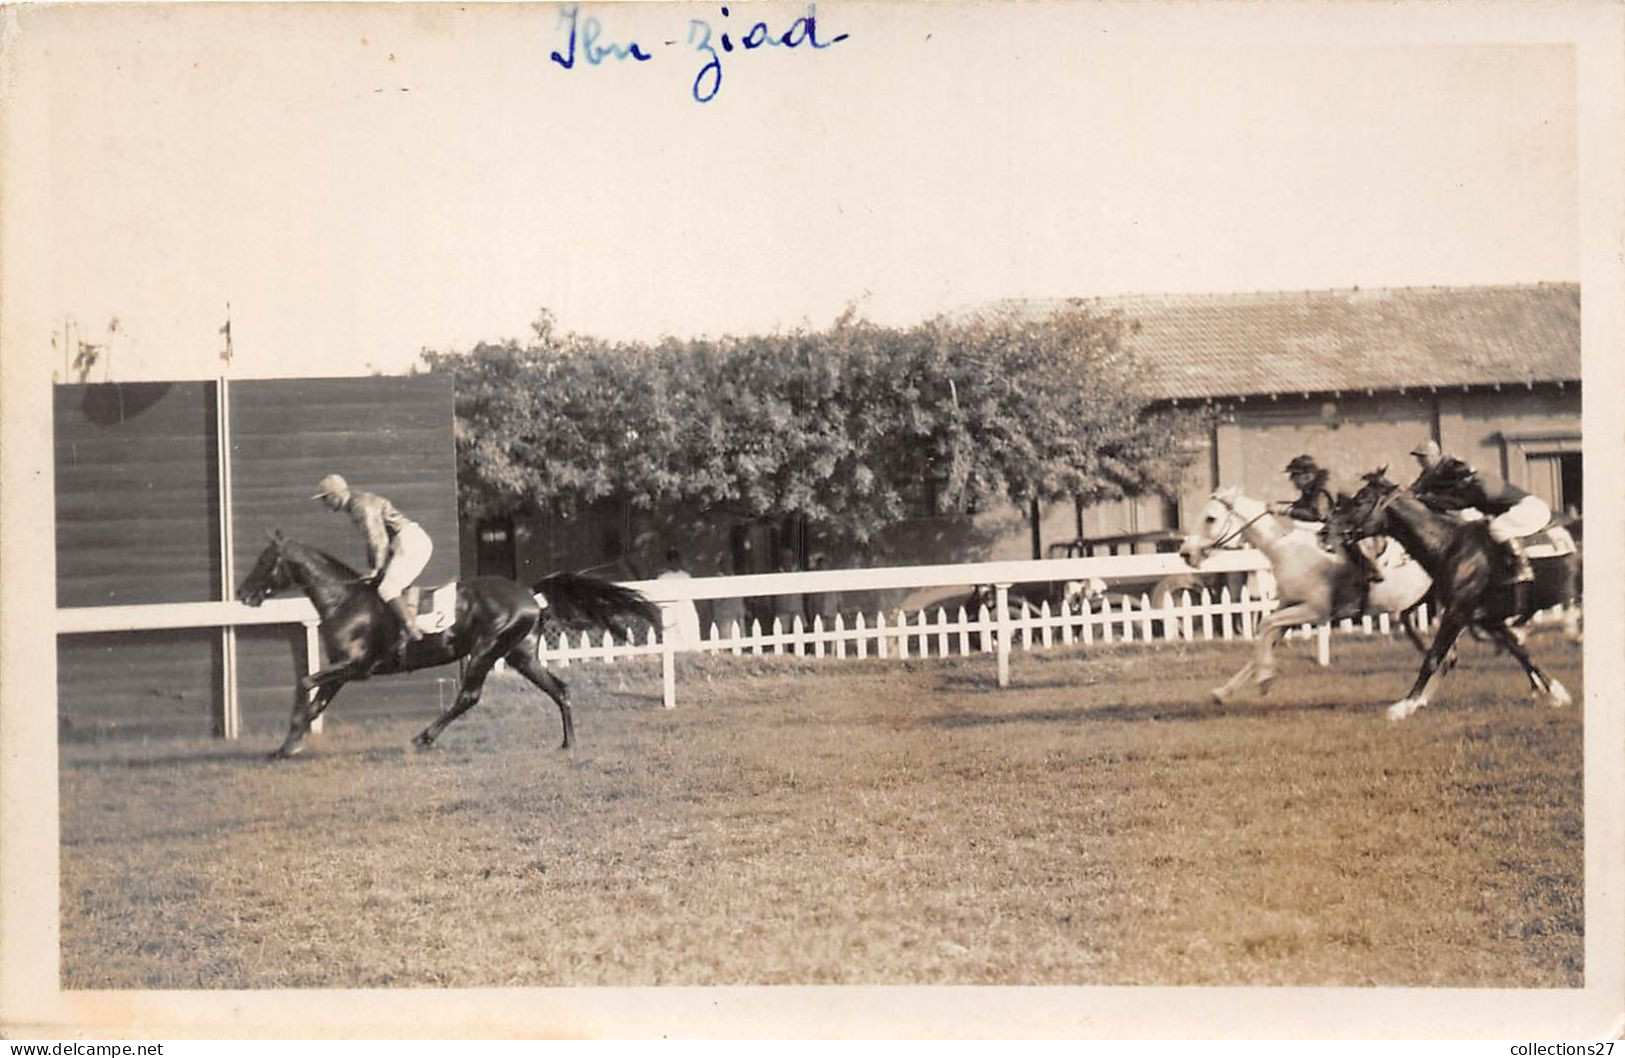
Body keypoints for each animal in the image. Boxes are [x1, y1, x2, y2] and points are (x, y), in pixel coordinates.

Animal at [234, 533, 659, 757]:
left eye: (264, 561)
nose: (242, 593)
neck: (345, 600)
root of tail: (528, 593)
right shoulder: (342, 668)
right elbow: (317, 698)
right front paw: (290, 744)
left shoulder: (357, 666)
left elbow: (305, 683)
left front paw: (289, 740)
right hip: (520, 655)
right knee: (560, 689)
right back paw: (568, 742)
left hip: (485, 650)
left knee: (468, 696)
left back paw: (423, 736)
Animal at [1176, 487, 1430, 702]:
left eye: (1210, 518)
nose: (1185, 553)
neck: (1287, 552)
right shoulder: (1289, 606)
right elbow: (1266, 636)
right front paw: (1224, 691)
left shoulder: (1314, 612)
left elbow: (1266, 625)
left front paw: (1265, 678)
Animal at [1319, 474, 1573, 724]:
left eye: (1361, 500)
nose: (1324, 530)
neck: (1449, 545)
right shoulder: (1485, 617)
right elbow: (1520, 651)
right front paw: (1557, 693)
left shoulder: (1456, 612)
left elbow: (1433, 656)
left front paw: (1405, 705)